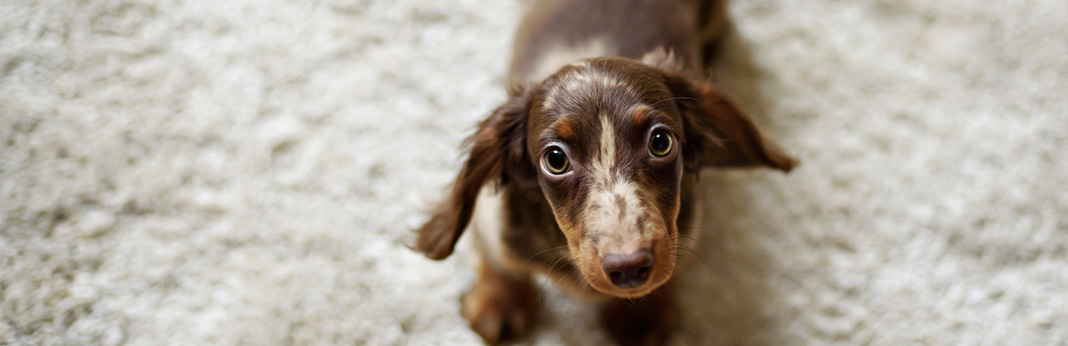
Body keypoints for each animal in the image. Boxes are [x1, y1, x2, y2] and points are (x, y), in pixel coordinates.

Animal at [412, 1, 798, 343]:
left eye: (660, 142)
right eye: (555, 159)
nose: (628, 266)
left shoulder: (686, 231)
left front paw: (641, 317)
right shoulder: (494, 224)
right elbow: (501, 261)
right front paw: (500, 303)